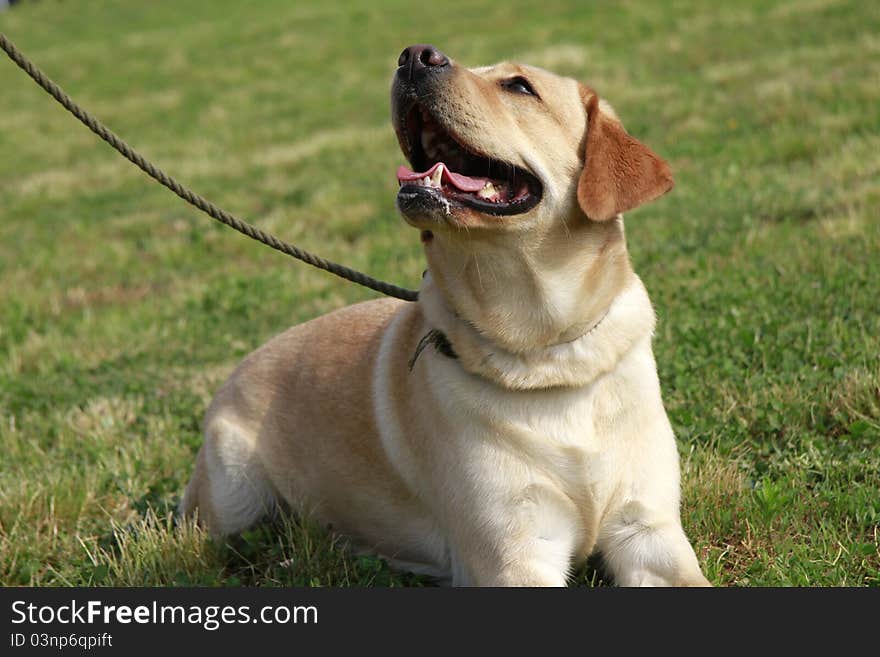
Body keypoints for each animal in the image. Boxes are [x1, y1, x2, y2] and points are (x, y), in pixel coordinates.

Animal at [179, 44, 708, 584]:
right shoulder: (513, 554)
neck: (547, 351)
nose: (415, 55)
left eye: (519, 86)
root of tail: (234, 372)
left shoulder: (648, 528)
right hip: (235, 492)